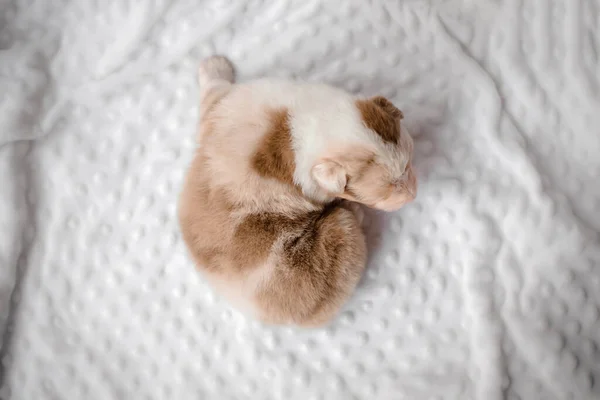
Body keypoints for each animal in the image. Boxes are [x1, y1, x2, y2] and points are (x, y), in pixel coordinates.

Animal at [176, 54, 414, 326]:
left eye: (408, 165)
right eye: (385, 193)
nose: (413, 194)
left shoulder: (223, 107)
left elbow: (213, 94)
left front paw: (213, 67)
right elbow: (215, 89)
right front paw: (215, 65)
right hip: (341, 236)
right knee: (347, 220)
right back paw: (354, 211)